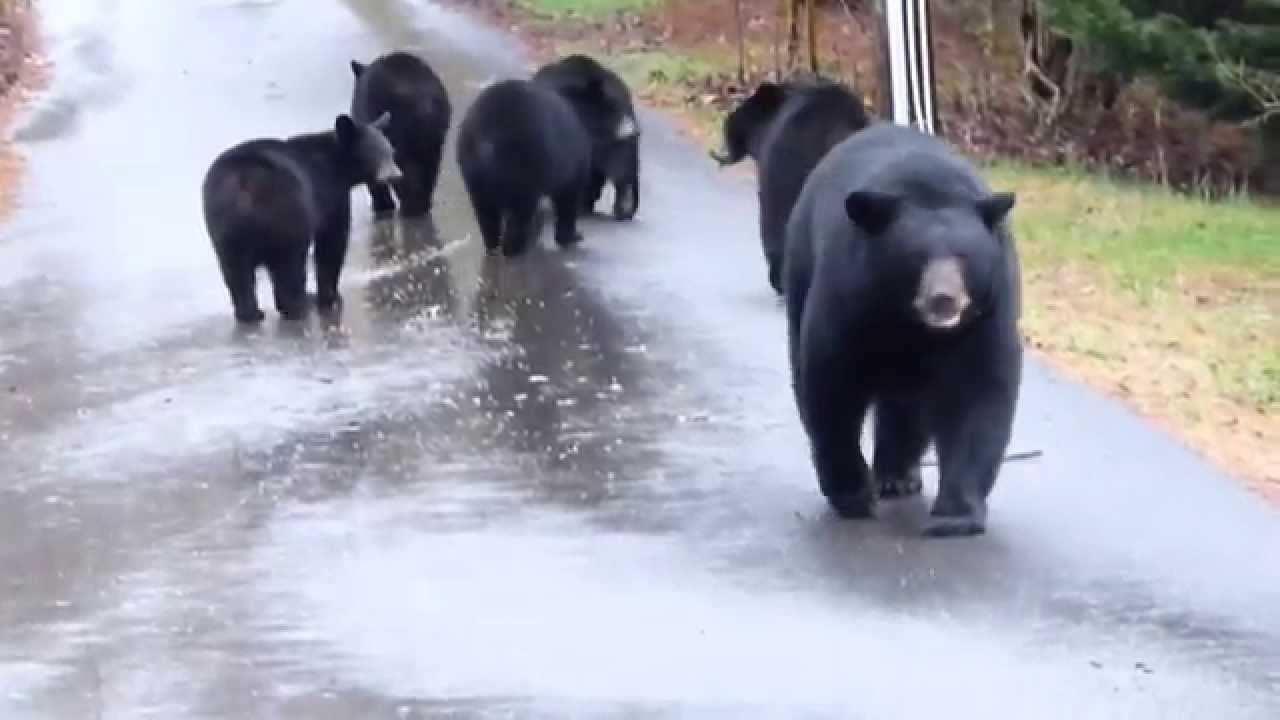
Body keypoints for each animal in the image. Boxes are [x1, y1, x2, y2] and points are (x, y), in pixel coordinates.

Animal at [201, 113, 401, 323]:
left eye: (391, 151)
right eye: (373, 152)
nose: (394, 175)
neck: (337, 161)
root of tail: (243, 184)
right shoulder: (330, 193)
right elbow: (332, 240)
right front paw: (331, 297)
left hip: (223, 227)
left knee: (236, 272)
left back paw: (250, 313)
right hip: (287, 212)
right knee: (290, 263)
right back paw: (298, 305)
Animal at [349, 51, 452, 217]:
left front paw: (382, 204)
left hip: (396, 132)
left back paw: (410, 205)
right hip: (435, 137)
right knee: (430, 166)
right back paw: (422, 203)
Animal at [455, 78, 593, 257]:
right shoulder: (573, 163)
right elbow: (568, 199)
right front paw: (571, 236)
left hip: (471, 169)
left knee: (486, 212)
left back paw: (493, 244)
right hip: (524, 168)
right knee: (520, 212)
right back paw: (514, 248)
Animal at [782, 121, 1023, 537]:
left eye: (963, 257)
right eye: (918, 258)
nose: (944, 299)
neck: (913, 324)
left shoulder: (988, 312)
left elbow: (980, 392)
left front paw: (955, 516)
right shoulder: (850, 299)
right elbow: (832, 383)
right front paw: (853, 495)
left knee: (906, 406)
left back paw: (897, 476)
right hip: (801, 265)